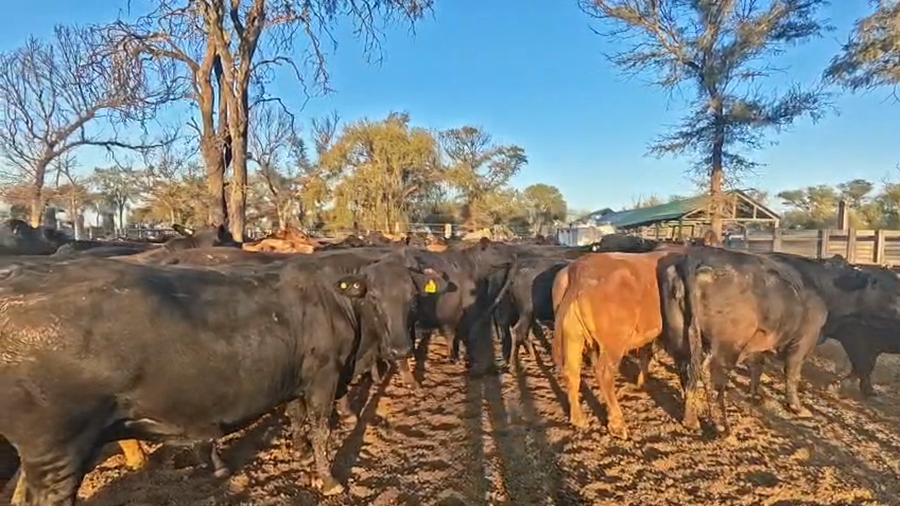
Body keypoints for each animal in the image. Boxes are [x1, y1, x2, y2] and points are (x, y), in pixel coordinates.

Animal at [0, 251, 446, 505]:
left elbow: (297, 417)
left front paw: (299, 453)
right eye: (374, 298)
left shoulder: (297, 377)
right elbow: (320, 425)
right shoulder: (324, 373)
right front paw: (327, 479)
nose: (400, 350)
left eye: (414, 298)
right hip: (58, 452)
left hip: (42, 456)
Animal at [552, 251, 679, 437]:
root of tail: (581, 268)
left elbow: (646, 353)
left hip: (573, 337)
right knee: (604, 372)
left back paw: (578, 419)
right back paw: (618, 424)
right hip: (613, 342)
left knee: (572, 372)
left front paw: (641, 382)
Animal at [657, 248, 897, 436]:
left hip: (681, 339)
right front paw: (796, 406)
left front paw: (757, 395)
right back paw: (722, 426)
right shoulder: (804, 340)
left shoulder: (761, 340)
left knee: (688, 371)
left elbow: (757, 366)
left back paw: (691, 420)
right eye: (891, 289)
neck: (821, 285)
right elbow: (793, 372)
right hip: (726, 346)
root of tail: (695, 259)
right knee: (714, 377)